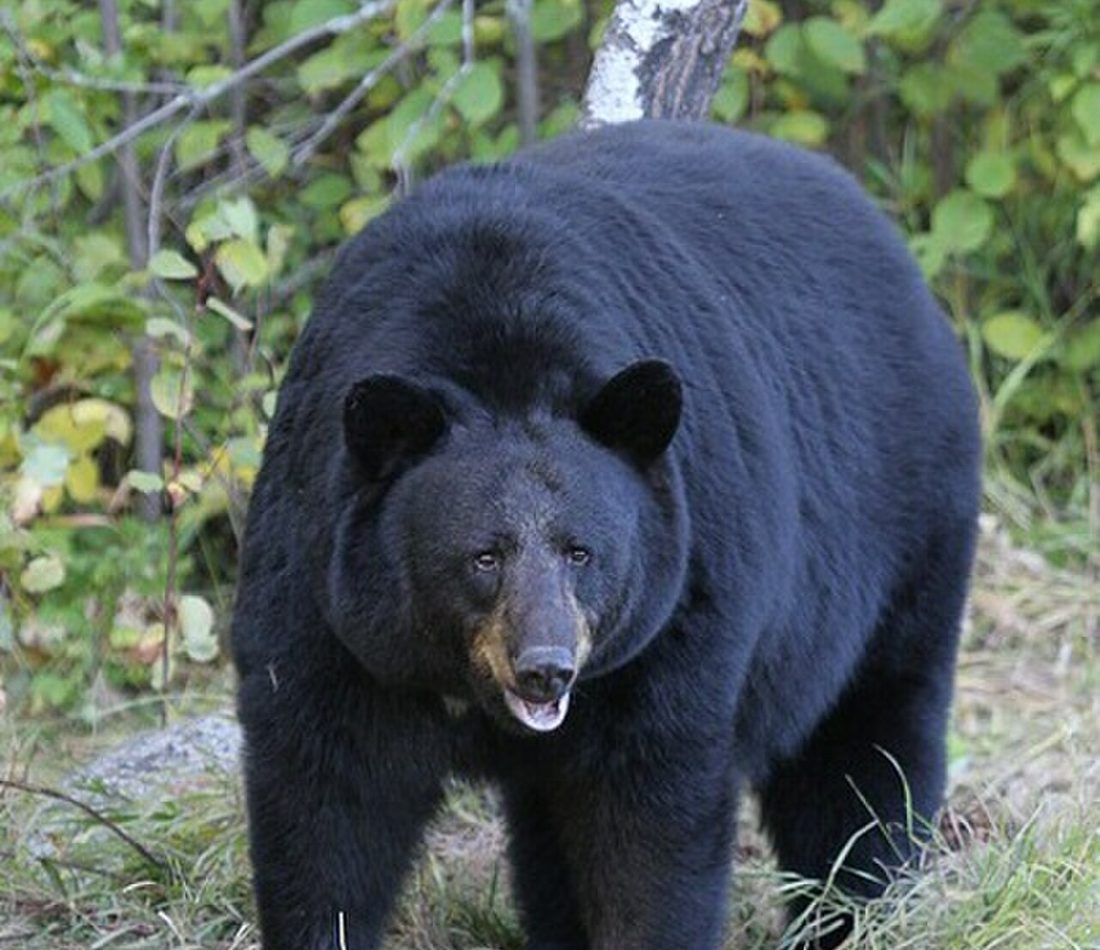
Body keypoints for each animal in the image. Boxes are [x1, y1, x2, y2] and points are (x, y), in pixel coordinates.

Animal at [231, 119, 981, 950]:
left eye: (580, 552)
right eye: (483, 556)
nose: (545, 668)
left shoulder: (676, 614)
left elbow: (650, 824)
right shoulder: (326, 601)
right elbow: (326, 802)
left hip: (902, 534)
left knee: (863, 754)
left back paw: (859, 912)